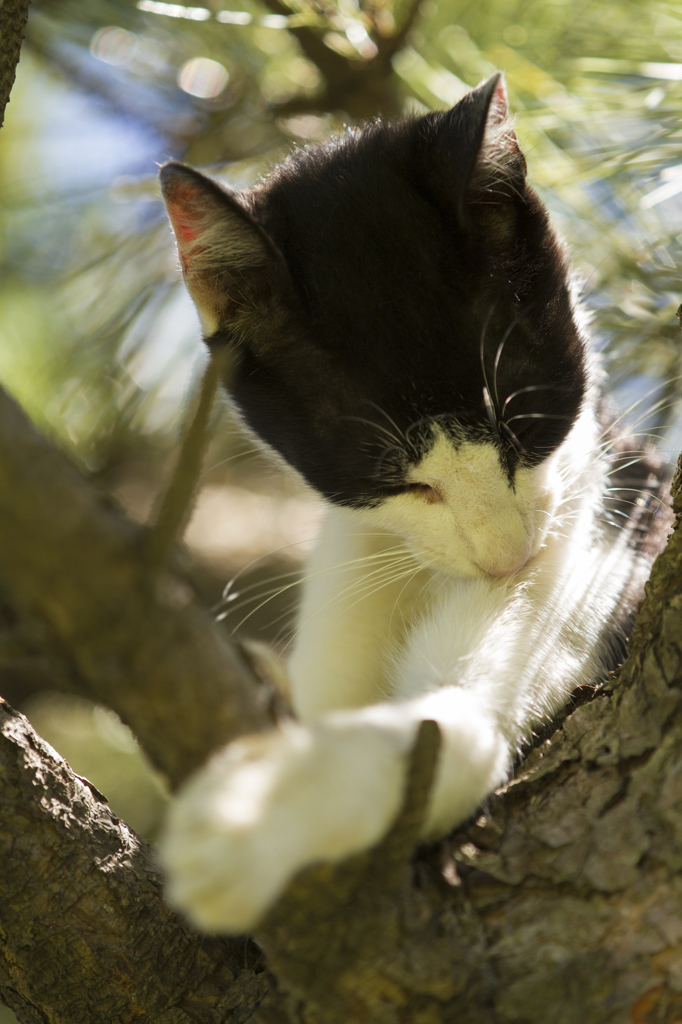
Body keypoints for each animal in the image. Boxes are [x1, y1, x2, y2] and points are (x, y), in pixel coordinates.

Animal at [155, 74, 663, 937]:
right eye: (396, 477)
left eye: (525, 429)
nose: (505, 557)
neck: (416, 569)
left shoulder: (600, 549)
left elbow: (457, 729)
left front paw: (251, 819)